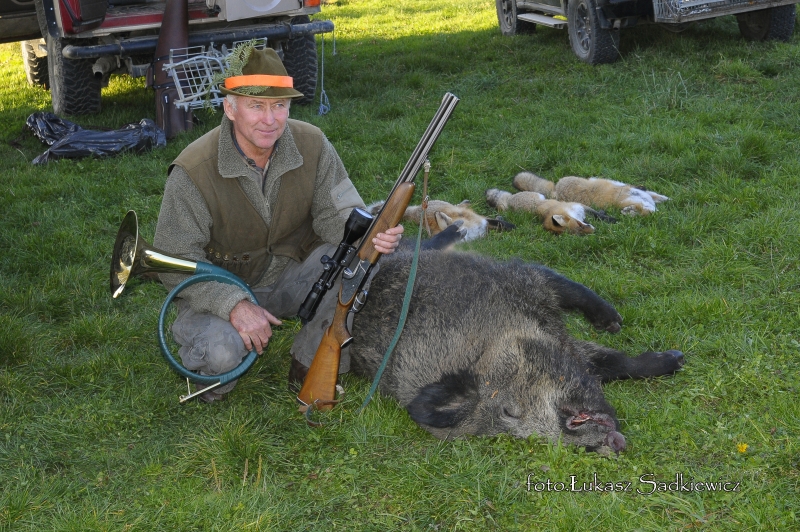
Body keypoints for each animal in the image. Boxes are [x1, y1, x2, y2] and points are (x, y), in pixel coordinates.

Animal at [349, 229, 684, 453]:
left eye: (509, 410)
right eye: (511, 428)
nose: (612, 443)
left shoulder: (523, 278)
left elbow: (573, 293)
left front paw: (670, 354)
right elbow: (610, 362)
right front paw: (675, 359)